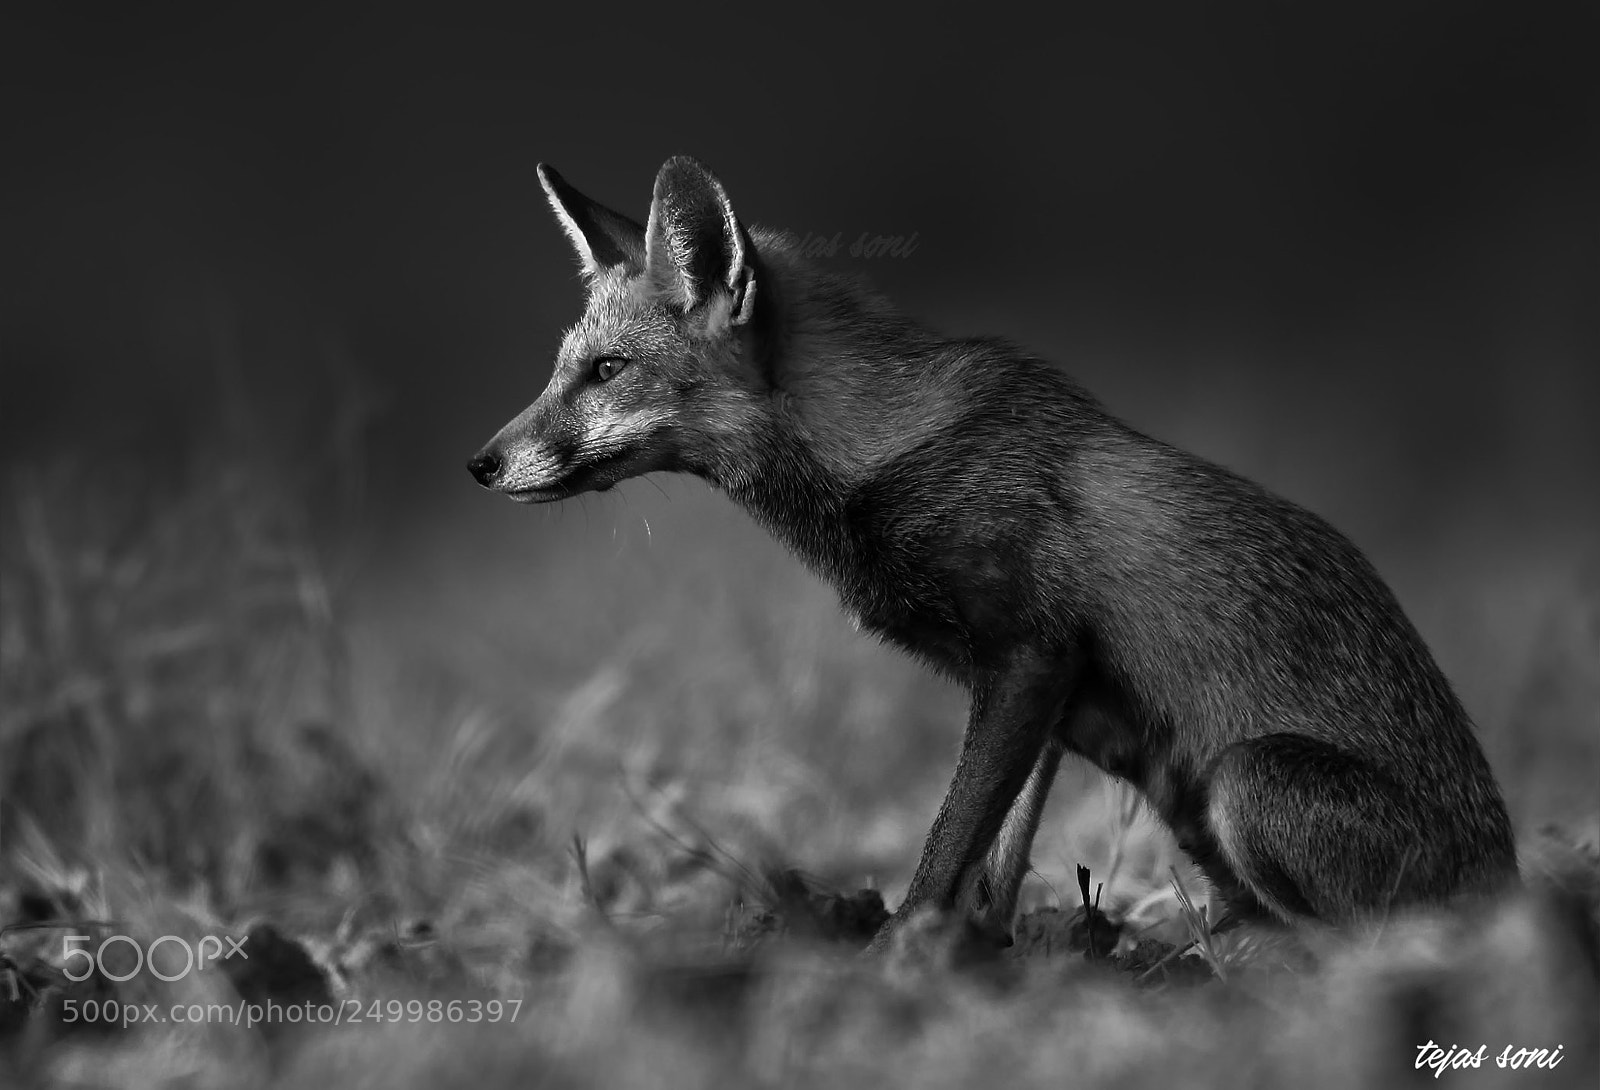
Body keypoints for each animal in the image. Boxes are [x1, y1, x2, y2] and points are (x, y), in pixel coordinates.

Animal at [468, 155, 1519, 950]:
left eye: (607, 370)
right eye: (562, 368)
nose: (479, 464)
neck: (876, 459)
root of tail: (1509, 881)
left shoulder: (1030, 655)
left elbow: (947, 844)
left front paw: (897, 961)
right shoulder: (1045, 695)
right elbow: (996, 859)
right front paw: (981, 959)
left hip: (1248, 779)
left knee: (1370, 937)